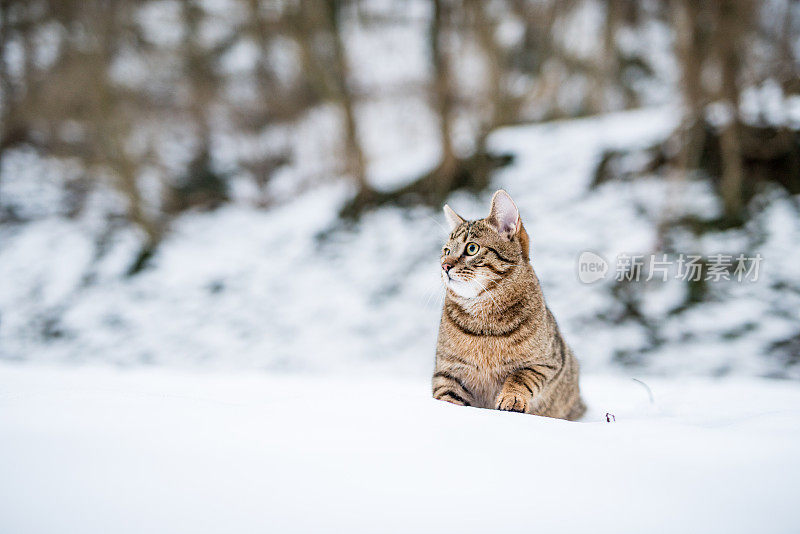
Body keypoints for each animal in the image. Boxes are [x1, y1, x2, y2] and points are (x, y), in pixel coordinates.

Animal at [432, 191, 588, 420]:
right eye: (446, 250)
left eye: (472, 248)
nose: (444, 266)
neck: (483, 320)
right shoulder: (447, 371)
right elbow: (445, 396)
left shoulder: (546, 363)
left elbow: (520, 377)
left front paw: (512, 397)